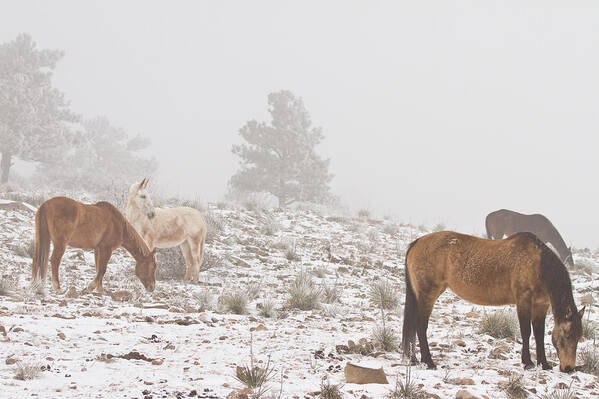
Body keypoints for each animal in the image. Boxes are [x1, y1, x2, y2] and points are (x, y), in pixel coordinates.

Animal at [404, 231, 584, 376]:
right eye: (568, 335)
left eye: (579, 337)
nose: (569, 368)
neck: (538, 264)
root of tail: (417, 242)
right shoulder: (523, 300)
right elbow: (526, 331)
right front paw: (528, 363)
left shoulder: (541, 305)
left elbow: (539, 334)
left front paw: (544, 364)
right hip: (428, 294)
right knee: (420, 326)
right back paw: (429, 362)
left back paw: (413, 359)